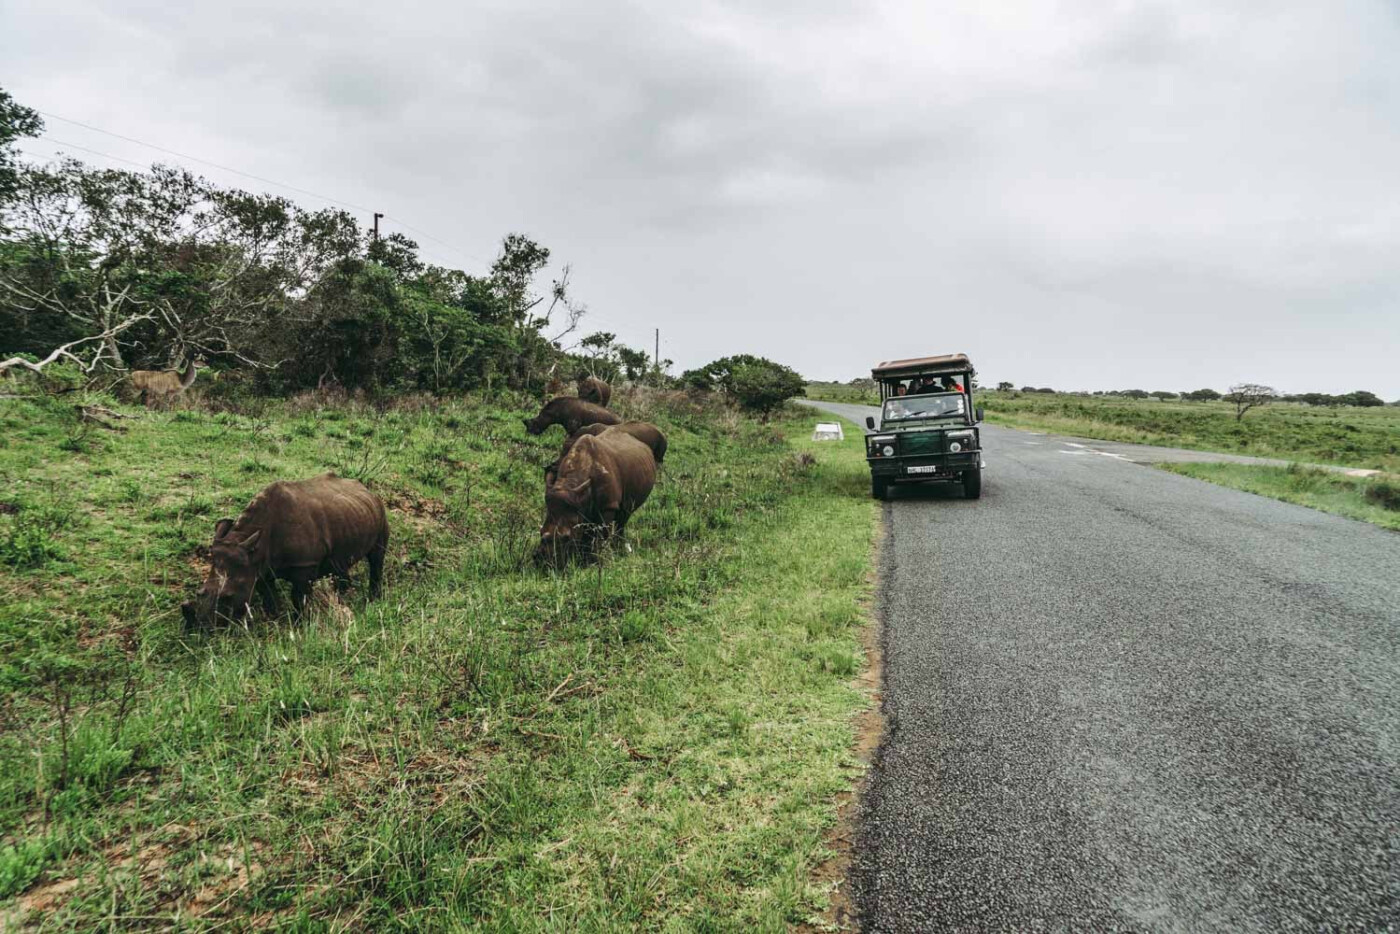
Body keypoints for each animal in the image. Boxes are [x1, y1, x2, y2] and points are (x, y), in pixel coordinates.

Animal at [182, 470, 389, 632]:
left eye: (228, 597)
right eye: (199, 592)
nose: (203, 629)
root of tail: (366, 489)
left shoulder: (303, 565)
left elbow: (298, 597)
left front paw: (300, 625)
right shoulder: (258, 566)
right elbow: (268, 594)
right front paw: (274, 618)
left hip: (380, 511)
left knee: (376, 558)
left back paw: (373, 599)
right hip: (350, 514)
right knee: (340, 561)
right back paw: (344, 595)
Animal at [540, 428, 660, 562]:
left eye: (566, 537)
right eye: (540, 532)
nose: (540, 560)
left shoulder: (608, 505)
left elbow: (600, 535)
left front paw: (593, 559)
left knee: (625, 515)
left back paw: (619, 548)